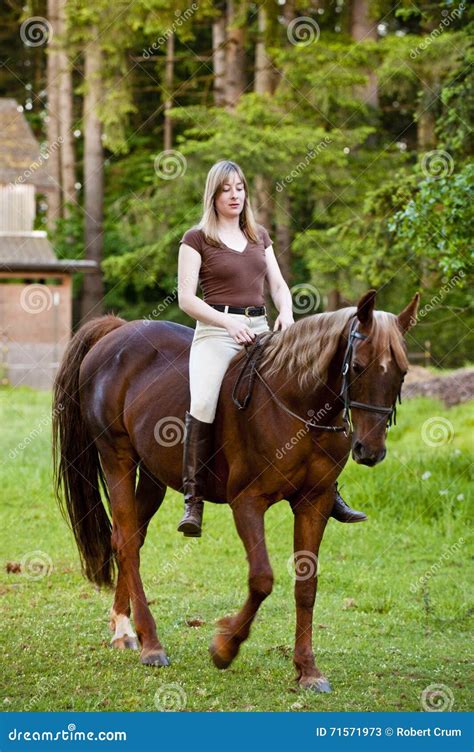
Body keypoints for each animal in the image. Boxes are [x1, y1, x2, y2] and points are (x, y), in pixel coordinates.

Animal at [52, 289, 419, 692]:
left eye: (402, 372)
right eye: (357, 367)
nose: (370, 451)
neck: (298, 405)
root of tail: (118, 332)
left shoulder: (315, 502)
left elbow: (306, 585)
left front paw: (308, 670)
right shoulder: (248, 502)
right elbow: (262, 579)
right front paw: (224, 648)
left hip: (151, 473)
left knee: (128, 537)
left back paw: (123, 629)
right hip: (116, 457)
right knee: (127, 543)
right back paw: (151, 644)